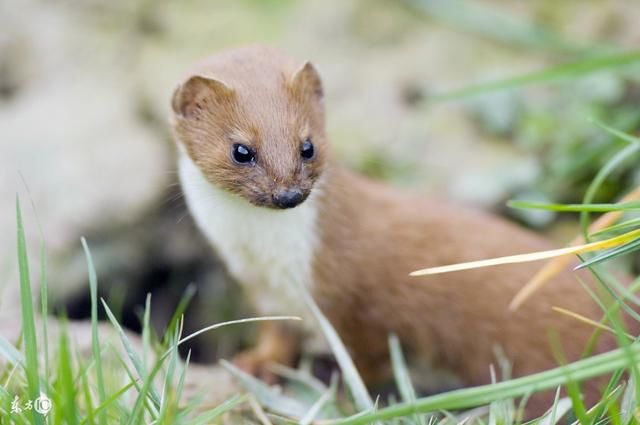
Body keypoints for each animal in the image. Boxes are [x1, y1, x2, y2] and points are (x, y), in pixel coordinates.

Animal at [172, 45, 624, 410]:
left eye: (308, 145)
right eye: (241, 150)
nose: (288, 194)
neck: (273, 263)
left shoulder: (359, 302)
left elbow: (367, 359)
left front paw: (341, 393)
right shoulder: (265, 293)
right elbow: (278, 336)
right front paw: (258, 362)